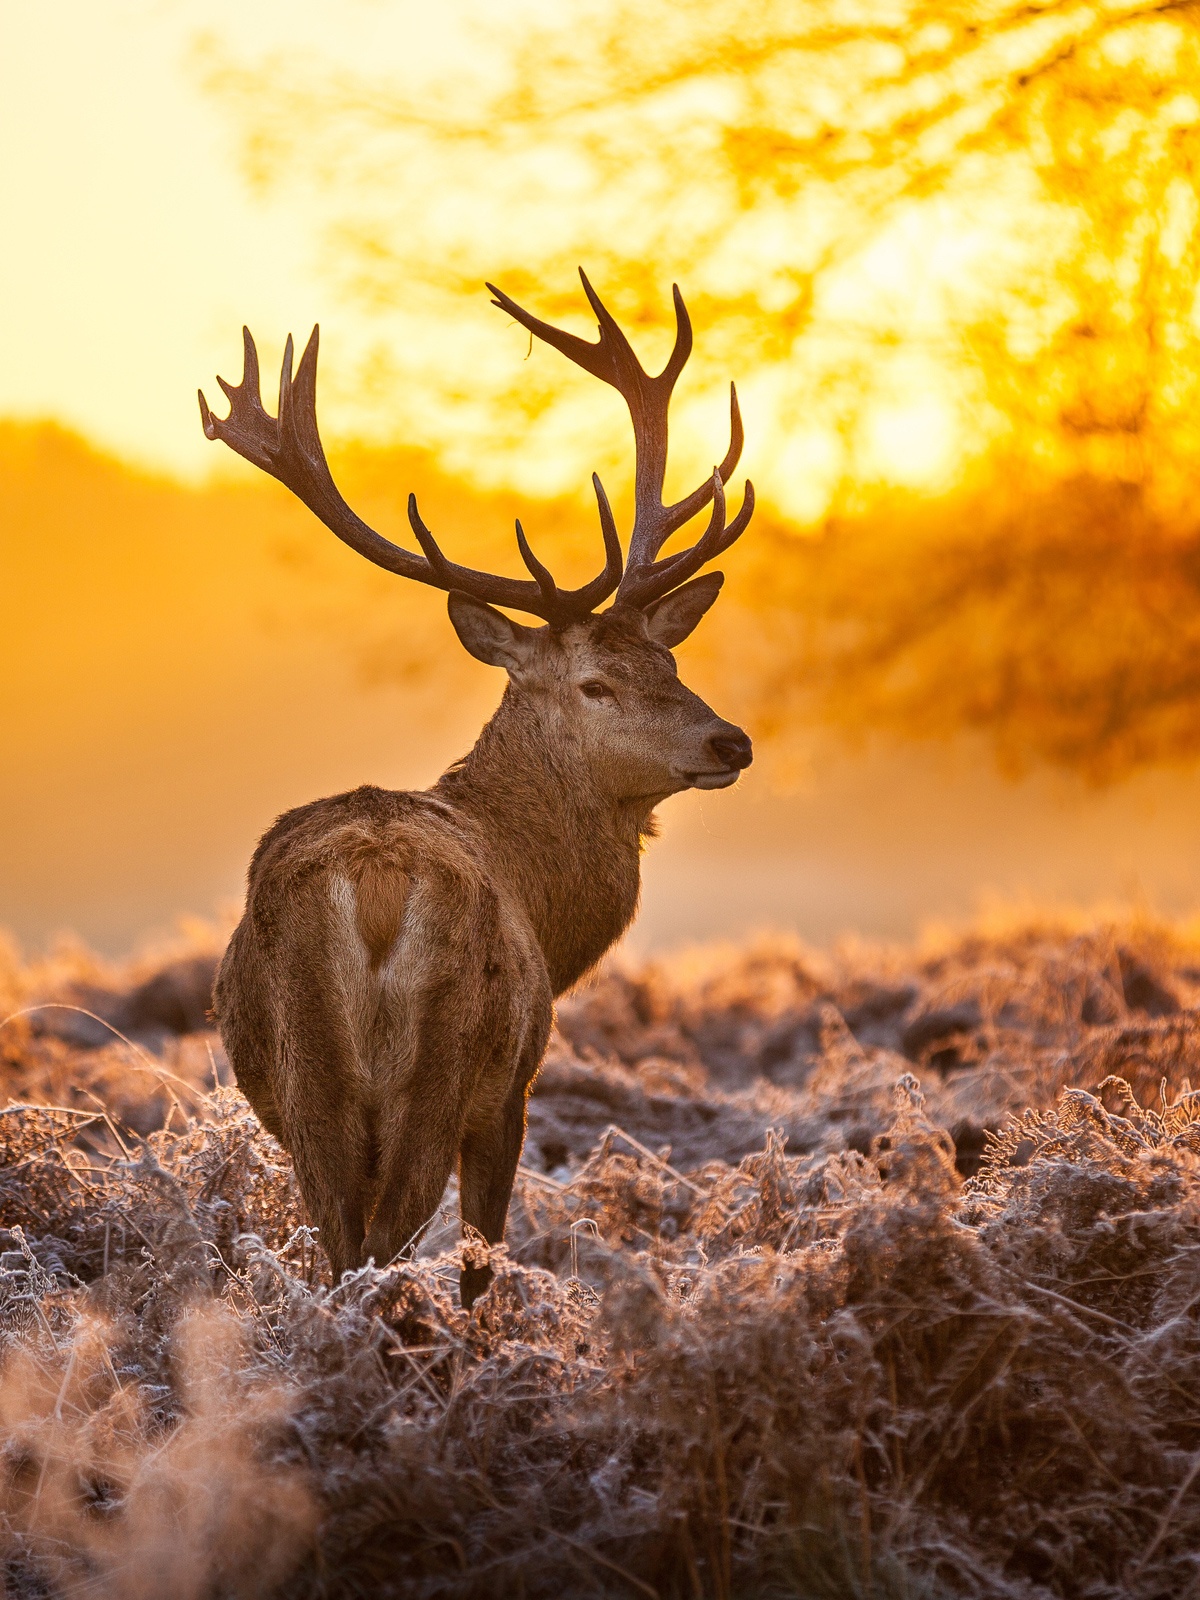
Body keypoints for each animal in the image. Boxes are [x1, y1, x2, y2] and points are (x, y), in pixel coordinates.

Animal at [200, 268, 755, 1305]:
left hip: (305, 1080)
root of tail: (374, 883)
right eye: (596, 683)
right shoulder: (514, 1087)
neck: (547, 905)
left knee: (341, 1245)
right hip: (445, 1061)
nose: (731, 740)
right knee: (387, 1246)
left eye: (669, 659)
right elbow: (482, 1259)